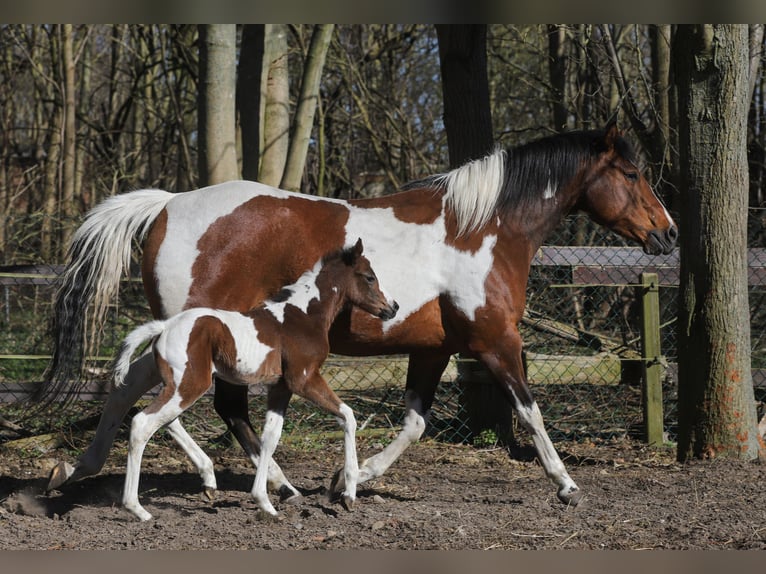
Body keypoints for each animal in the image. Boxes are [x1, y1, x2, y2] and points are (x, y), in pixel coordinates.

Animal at [115, 239, 398, 520]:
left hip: (177, 386)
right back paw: (137, 508)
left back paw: (208, 481)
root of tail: (164, 327)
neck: (304, 316)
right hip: (190, 384)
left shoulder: (280, 386)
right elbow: (347, 416)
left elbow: (270, 437)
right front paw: (348, 495)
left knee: (167, 420)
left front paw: (265, 501)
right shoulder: (303, 379)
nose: (392, 307)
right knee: (142, 423)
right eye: (370, 277)